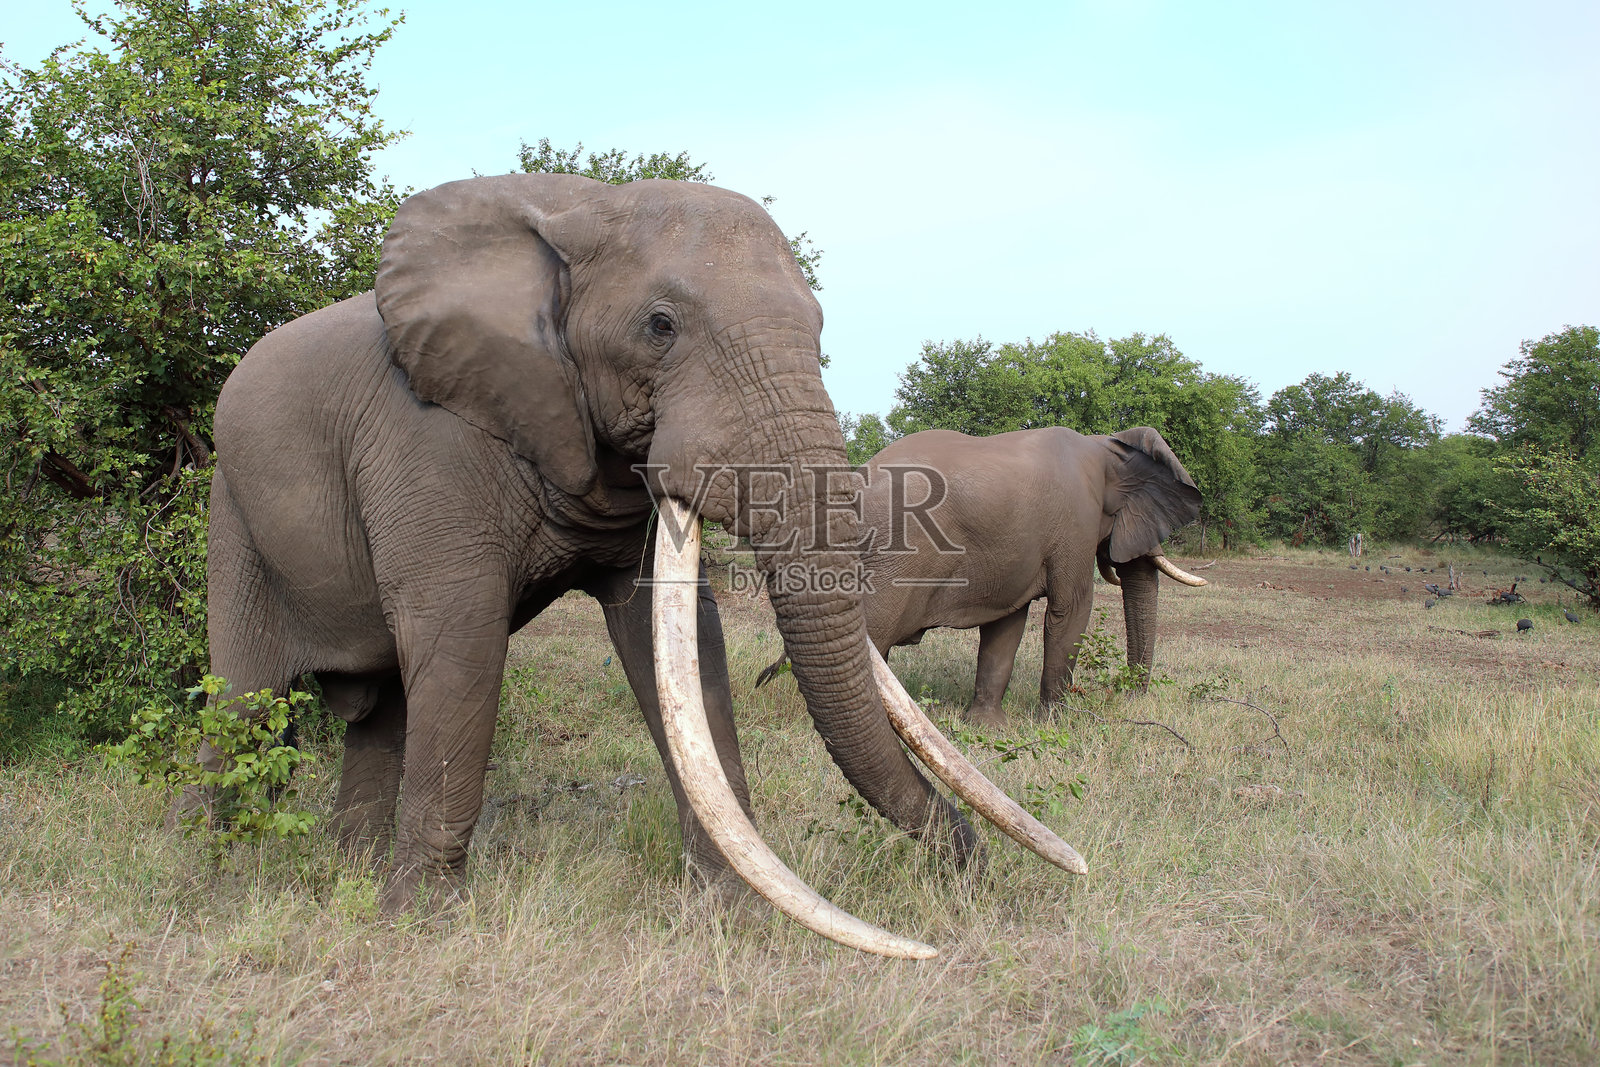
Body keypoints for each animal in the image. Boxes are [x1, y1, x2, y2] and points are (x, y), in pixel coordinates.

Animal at [192, 173, 1084, 958]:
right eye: (660, 326)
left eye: (821, 328)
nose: (969, 874)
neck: (576, 207)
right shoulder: (428, 442)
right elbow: (462, 642)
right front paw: (421, 926)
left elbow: (683, 647)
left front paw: (732, 912)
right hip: (231, 511)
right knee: (243, 699)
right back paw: (232, 875)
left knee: (378, 712)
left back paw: (346, 868)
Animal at [759, 426, 1207, 726]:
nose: (1129, 696)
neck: (1106, 445)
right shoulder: (1075, 524)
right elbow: (1071, 611)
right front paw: (1057, 724)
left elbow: (1006, 625)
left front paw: (988, 729)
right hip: (893, 562)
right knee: (875, 635)